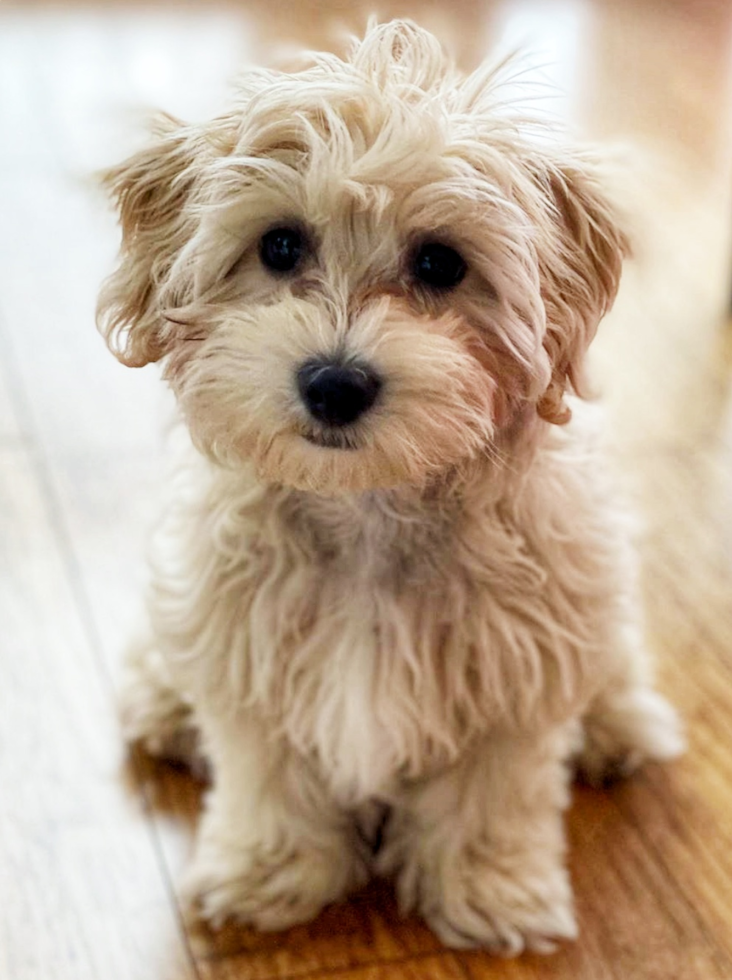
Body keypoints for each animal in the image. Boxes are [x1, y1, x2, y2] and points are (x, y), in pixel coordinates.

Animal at [98, 21, 688, 956]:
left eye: (441, 264)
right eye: (279, 246)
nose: (335, 383)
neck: (368, 507)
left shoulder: (514, 680)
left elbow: (490, 796)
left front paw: (491, 890)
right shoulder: (252, 656)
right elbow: (270, 778)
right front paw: (267, 872)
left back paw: (621, 724)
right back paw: (161, 701)